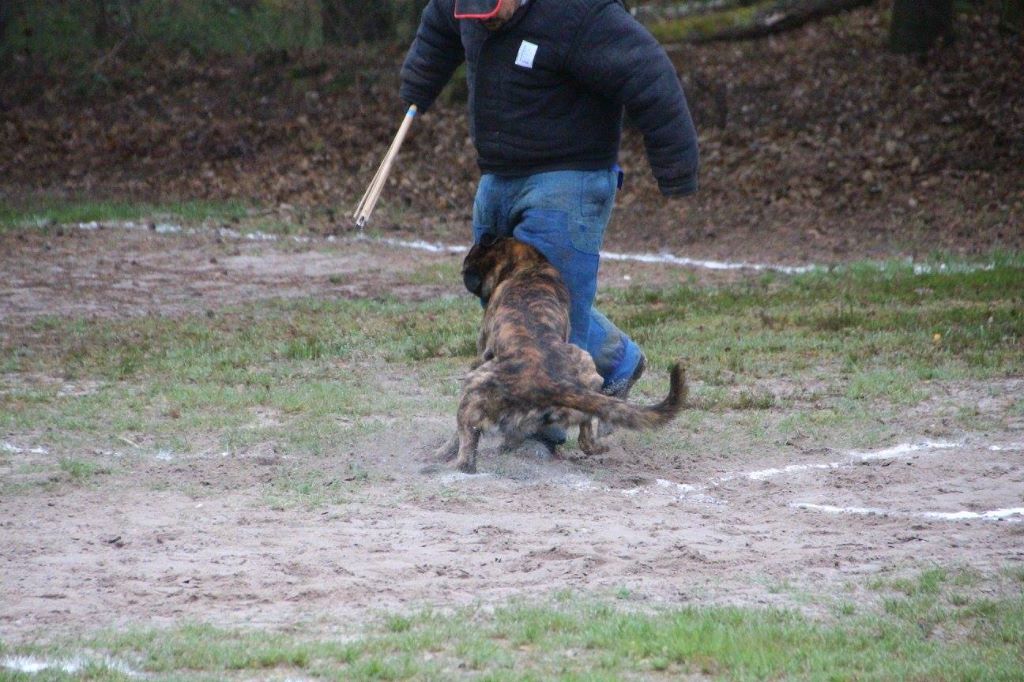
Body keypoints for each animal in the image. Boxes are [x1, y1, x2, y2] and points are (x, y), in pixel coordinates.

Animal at [432, 233, 688, 473]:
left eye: (469, 263)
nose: (465, 276)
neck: (527, 265)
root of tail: (549, 383)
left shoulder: (481, 350)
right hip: (588, 374)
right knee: (587, 435)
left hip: (473, 387)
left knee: (466, 453)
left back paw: (441, 461)